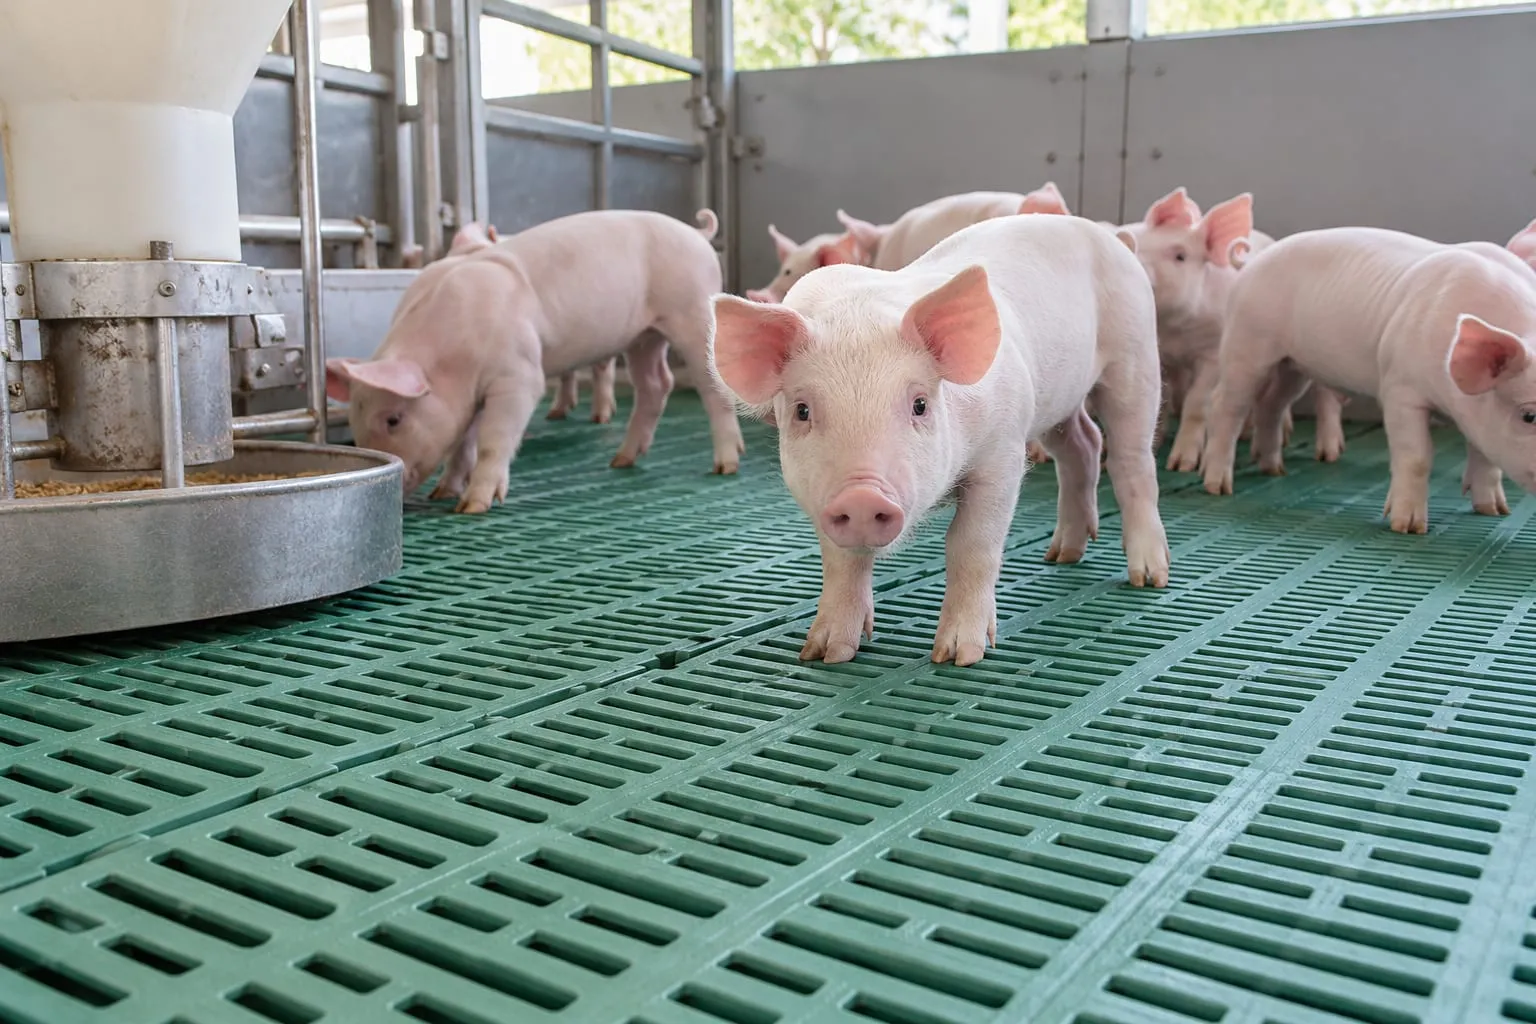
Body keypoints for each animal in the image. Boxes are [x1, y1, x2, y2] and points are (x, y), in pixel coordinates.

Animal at [709, 214, 1171, 667]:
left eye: (920, 404)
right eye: (802, 411)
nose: (862, 496)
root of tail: (1113, 237)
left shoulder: (1002, 454)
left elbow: (971, 544)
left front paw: (958, 656)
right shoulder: (819, 498)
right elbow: (842, 563)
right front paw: (823, 654)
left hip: (1135, 359)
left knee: (1131, 459)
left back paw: (1149, 577)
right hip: (1058, 402)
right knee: (1083, 444)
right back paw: (1061, 555)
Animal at [1200, 226, 1536, 532]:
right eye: (1529, 416)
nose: (1500, 511)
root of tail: (1251, 264)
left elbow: (1487, 459)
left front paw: (1493, 511)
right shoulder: (1400, 387)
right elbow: (1416, 457)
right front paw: (1406, 527)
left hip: (1293, 366)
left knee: (1272, 404)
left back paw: (1274, 471)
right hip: (1247, 341)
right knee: (1226, 406)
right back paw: (1218, 487)